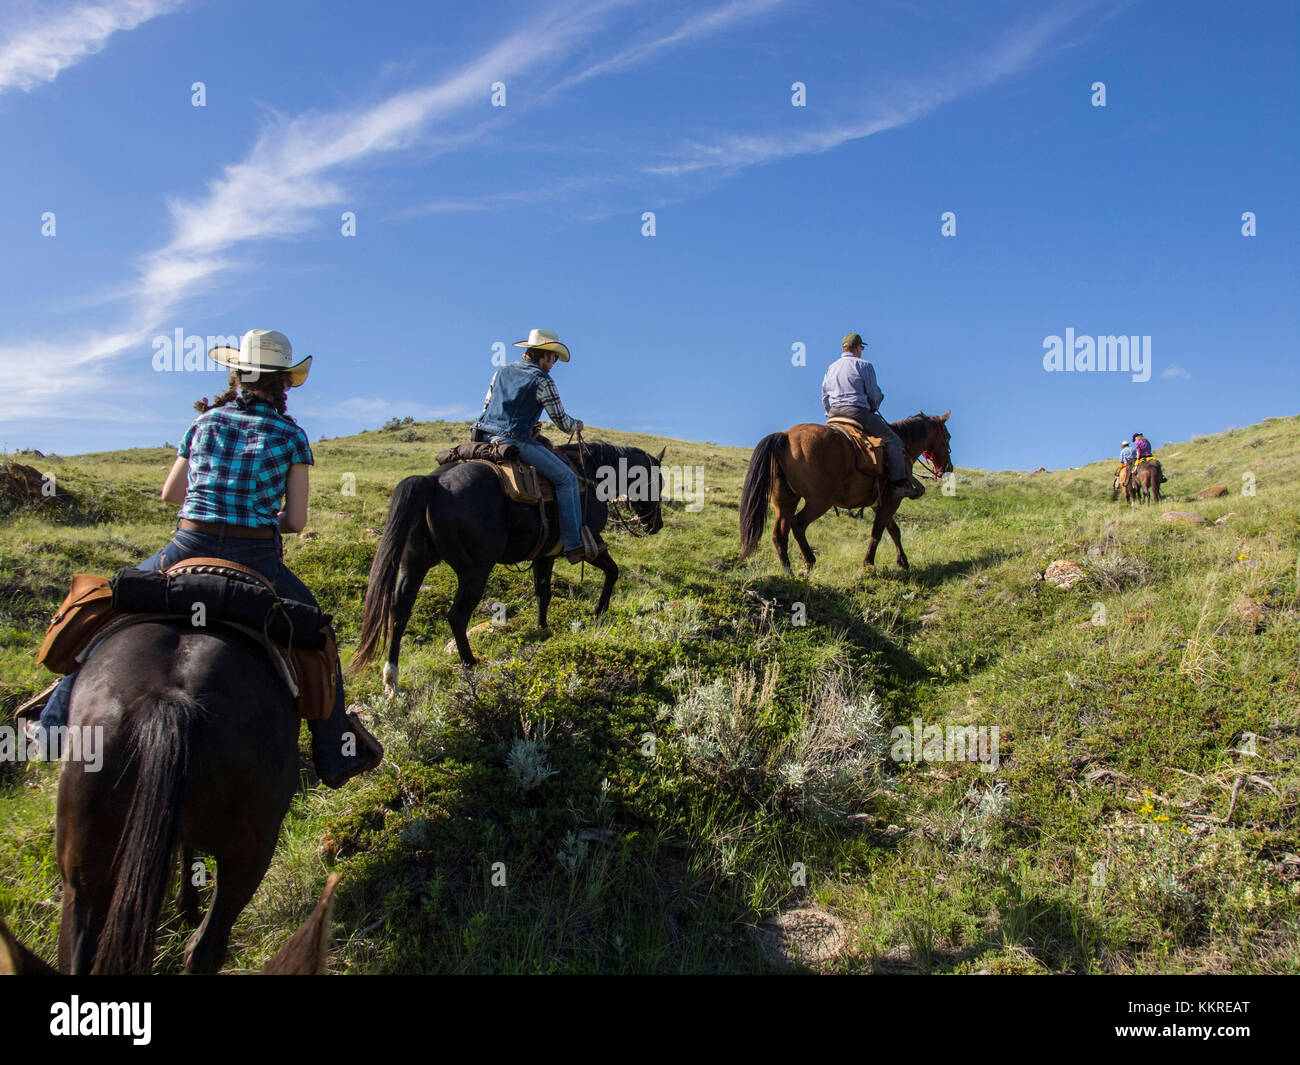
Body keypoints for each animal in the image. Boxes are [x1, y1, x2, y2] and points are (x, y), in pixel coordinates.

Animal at [353, 442, 665, 691]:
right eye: (656, 482)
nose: (656, 525)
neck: (590, 473)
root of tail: (433, 483)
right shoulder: (590, 543)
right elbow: (612, 571)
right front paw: (599, 611)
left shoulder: (545, 555)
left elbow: (543, 592)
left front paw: (542, 628)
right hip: (475, 570)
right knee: (457, 616)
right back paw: (470, 663)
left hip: (414, 564)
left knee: (400, 611)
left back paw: (391, 680)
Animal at [743, 413, 956, 574]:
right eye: (947, 436)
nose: (948, 467)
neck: (903, 445)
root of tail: (785, 436)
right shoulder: (891, 500)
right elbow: (878, 531)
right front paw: (869, 563)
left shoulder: (879, 503)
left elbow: (893, 530)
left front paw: (902, 561)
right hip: (819, 501)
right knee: (798, 524)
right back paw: (809, 562)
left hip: (785, 501)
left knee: (779, 534)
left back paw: (789, 572)